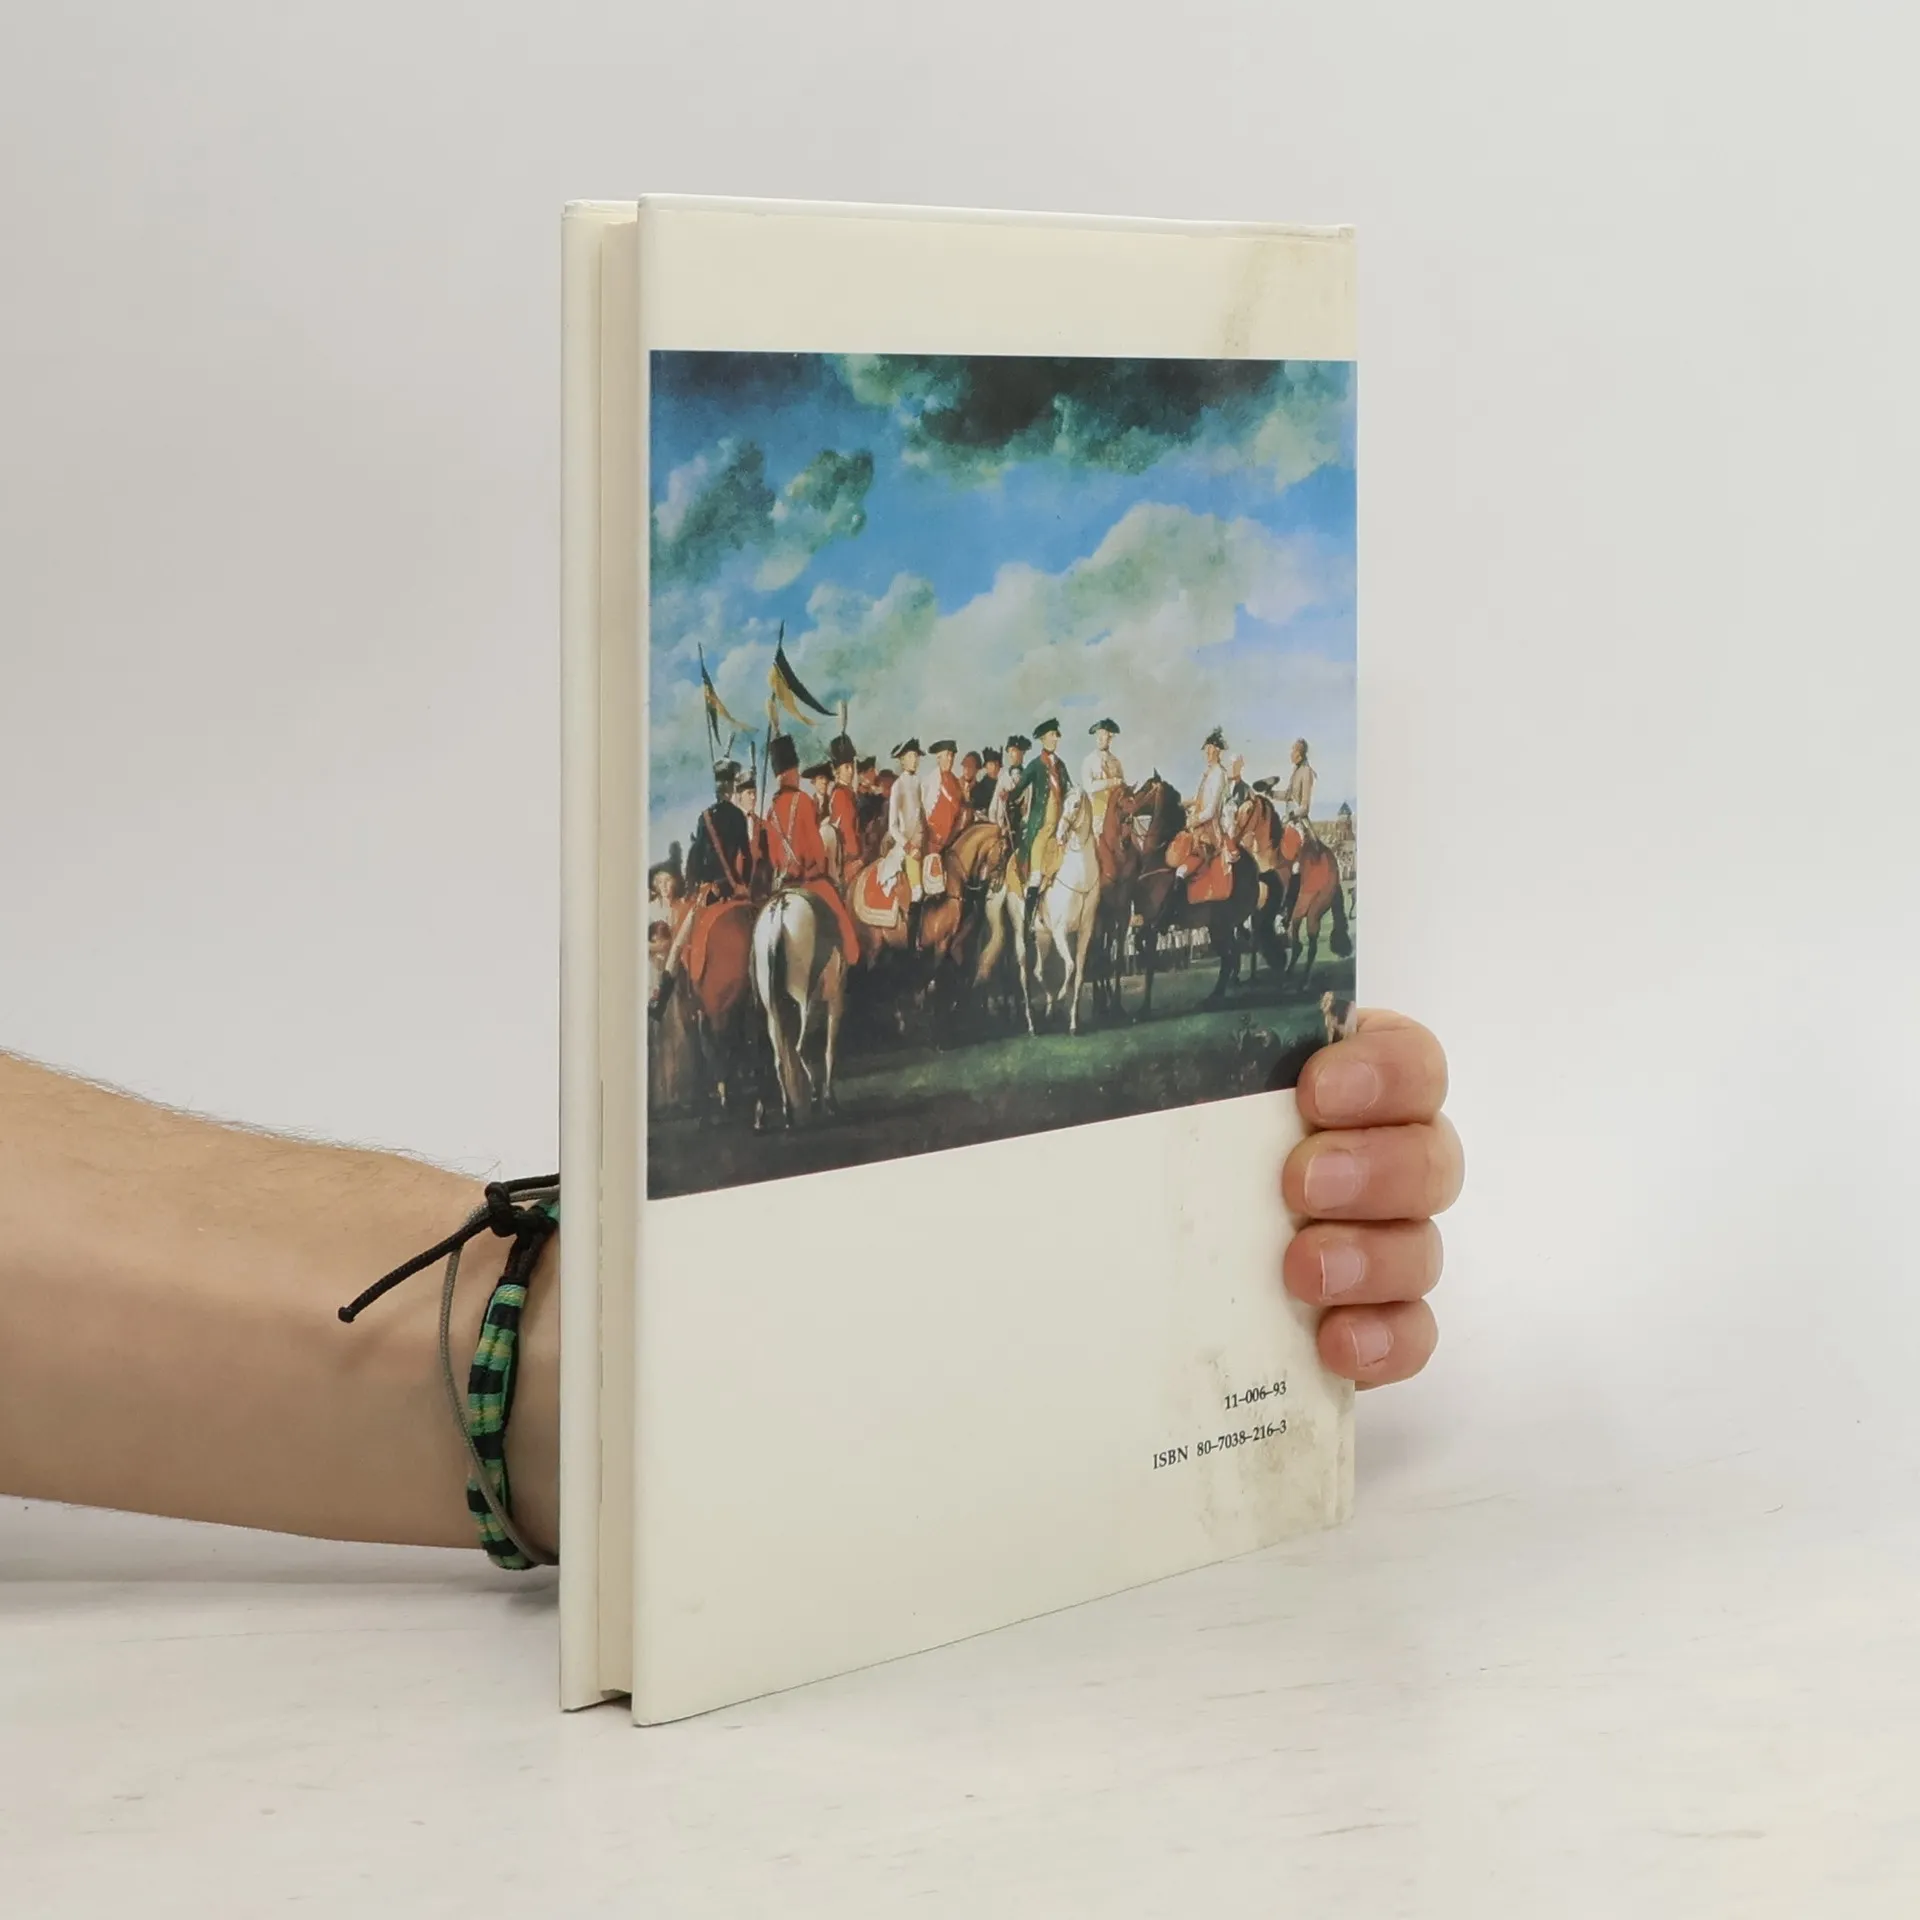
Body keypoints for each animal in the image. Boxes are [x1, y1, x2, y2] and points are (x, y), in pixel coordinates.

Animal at [748, 885, 847, 1130]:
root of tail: (780, 910)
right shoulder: (835, 1000)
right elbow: (830, 1049)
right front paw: (830, 1101)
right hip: (806, 1002)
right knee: (802, 1047)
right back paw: (816, 1099)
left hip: (772, 1010)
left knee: (778, 1058)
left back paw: (787, 1114)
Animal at [1007, 788, 1103, 1035]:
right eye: (1065, 804)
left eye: (1076, 805)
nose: (1060, 833)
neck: (1079, 877)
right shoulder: (1061, 931)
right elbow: (1069, 965)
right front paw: (1061, 997)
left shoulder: (1084, 932)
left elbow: (1078, 973)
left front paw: (1073, 1023)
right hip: (1021, 935)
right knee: (1024, 975)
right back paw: (1032, 1024)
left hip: (1044, 937)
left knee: (1038, 971)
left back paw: (1049, 1009)